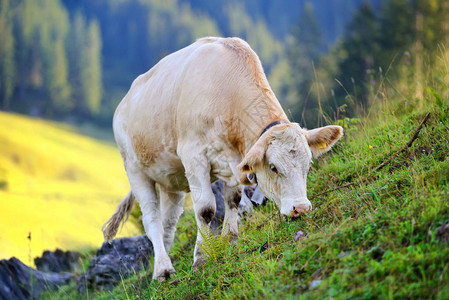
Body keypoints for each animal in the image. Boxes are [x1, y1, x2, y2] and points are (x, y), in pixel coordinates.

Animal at [102, 37, 344, 282]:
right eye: (274, 167)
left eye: (309, 165)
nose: (301, 208)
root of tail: (122, 105)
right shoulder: (193, 156)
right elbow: (206, 209)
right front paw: (201, 257)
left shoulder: (233, 163)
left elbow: (233, 200)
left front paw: (231, 241)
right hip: (135, 170)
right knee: (151, 219)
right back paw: (162, 270)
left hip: (170, 179)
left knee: (167, 224)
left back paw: (163, 264)